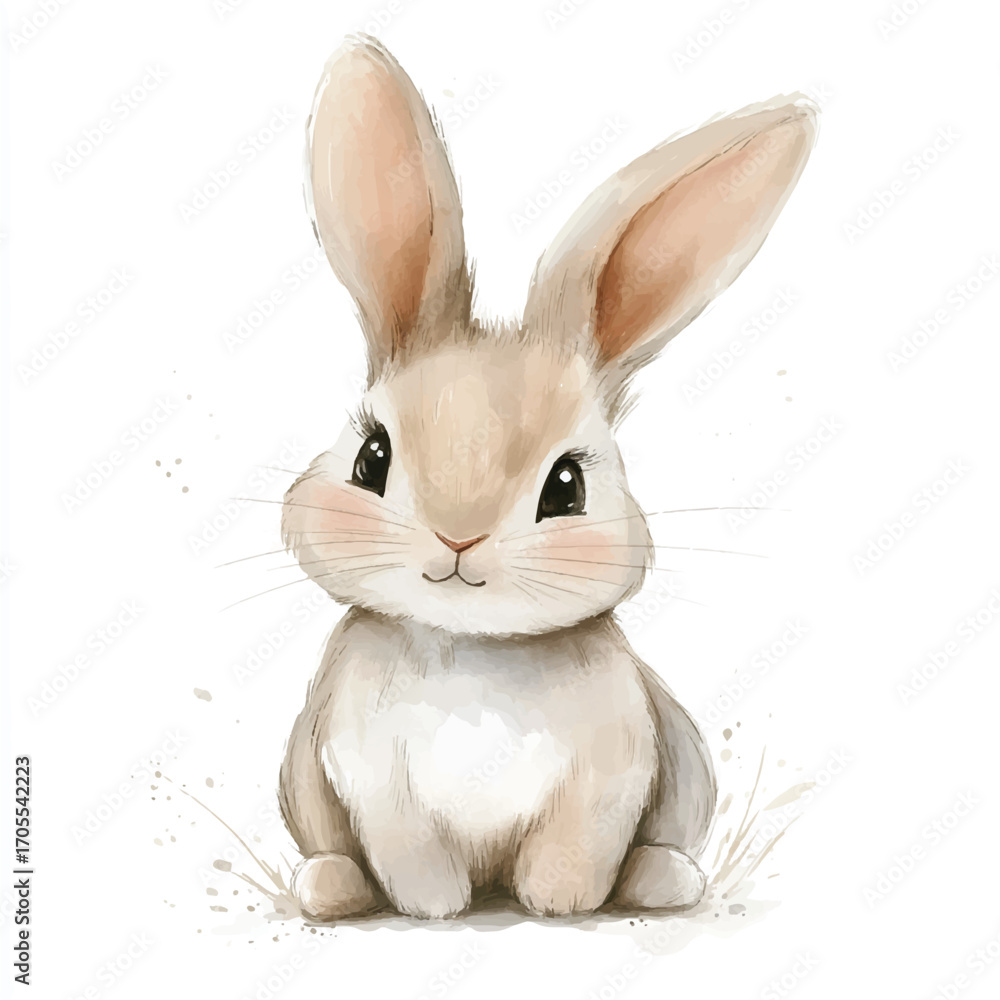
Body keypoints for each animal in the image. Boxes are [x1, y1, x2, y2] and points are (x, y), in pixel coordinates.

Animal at [277, 34, 817, 921]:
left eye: (567, 487)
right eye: (371, 459)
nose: (458, 538)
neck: (472, 651)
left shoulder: (610, 779)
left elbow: (575, 850)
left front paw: (556, 904)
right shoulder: (374, 788)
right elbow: (413, 857)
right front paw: (437, 910)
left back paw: (665, 880)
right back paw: (327, 888)